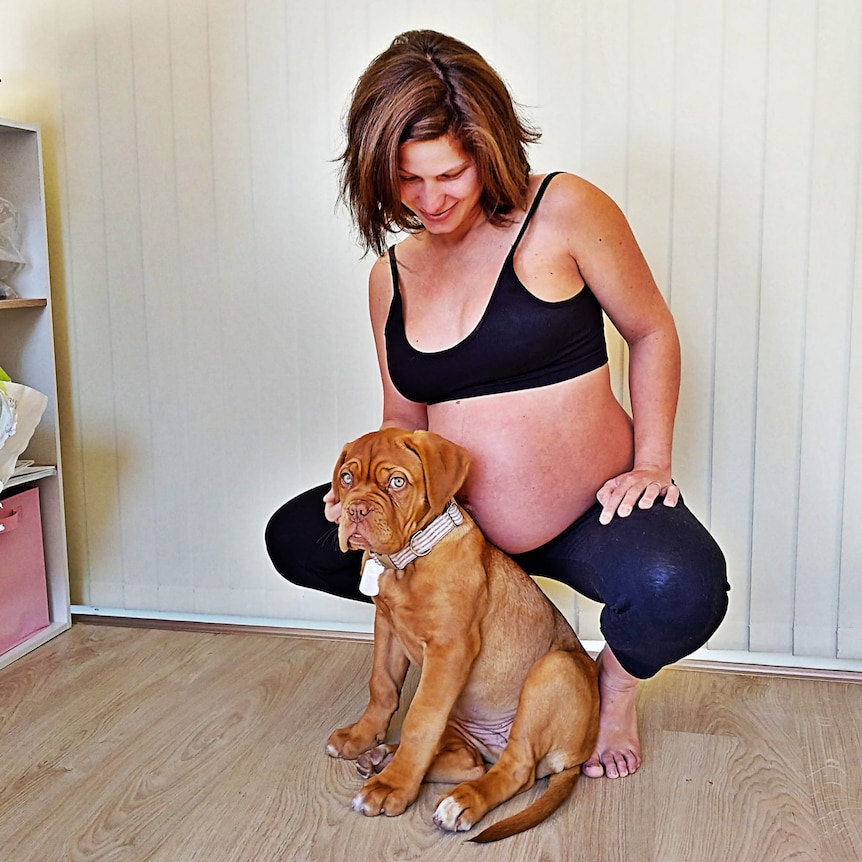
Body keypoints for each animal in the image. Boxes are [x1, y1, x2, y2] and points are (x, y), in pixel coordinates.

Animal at [326, 426, 600, 844]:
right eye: (346, 478)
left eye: (396, 482)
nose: (355, 510)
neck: (407, 561)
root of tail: (579, 753)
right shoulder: (387, 628)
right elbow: (382, 688)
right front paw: (362, 739)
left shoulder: (449, 649)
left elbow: (420, 719)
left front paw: (393, 787)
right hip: (459, 720)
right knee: (470, 762)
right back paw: (381, 757)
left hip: (554, 670)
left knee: (516, 769)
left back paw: (459, 800)